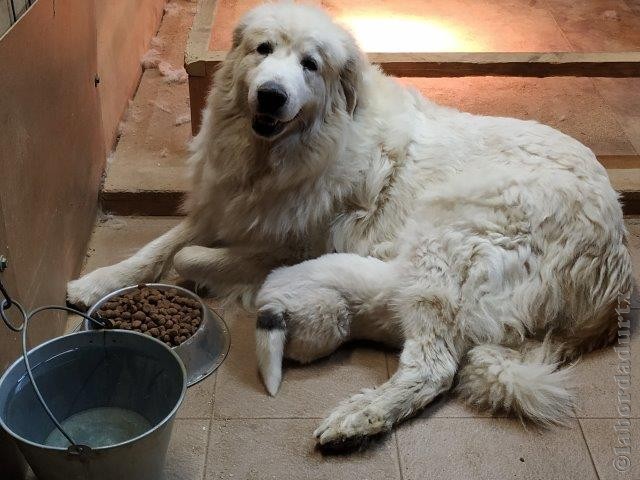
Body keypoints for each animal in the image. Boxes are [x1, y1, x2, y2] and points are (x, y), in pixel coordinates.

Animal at [67, 2, 632, 450]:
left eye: (310, 65)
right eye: (262, 49)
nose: (271, 95)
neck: (283, 156)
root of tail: (617, 273)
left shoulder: (289, 245)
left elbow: (191, 255)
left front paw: (204, 274)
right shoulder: (224, 206)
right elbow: (162, 246)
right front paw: (97, 282)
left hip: (446, 242)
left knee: (433, 367)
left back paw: (356, 419)